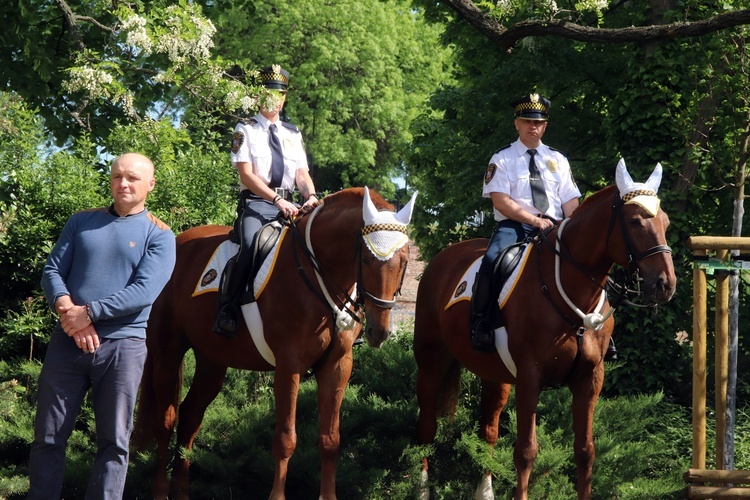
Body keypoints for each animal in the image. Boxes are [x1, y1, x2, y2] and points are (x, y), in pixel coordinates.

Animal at [134, 186, 418, 498]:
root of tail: (176, 241)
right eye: (366, 260)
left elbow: (330, 439)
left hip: (212, 361)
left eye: (405, 261)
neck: (316, 270)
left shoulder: (337, 365)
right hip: (167, 350)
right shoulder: (289, 366)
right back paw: (161, 490)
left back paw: (182, 490)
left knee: (189, 416)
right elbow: (285, 439)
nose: (379, 332)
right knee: (166, 419)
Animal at [414, 159, 680, 496]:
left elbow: (585, 451)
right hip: (431, 361)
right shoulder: (531, 377)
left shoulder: (589, 380)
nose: (665, 284)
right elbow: (526, 451)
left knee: (487, 429)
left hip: (495, 375)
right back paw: (422, 489)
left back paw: (484, 491)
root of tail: (443, 258)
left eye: (665, 222)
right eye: (634, 221)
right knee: (426, 427)